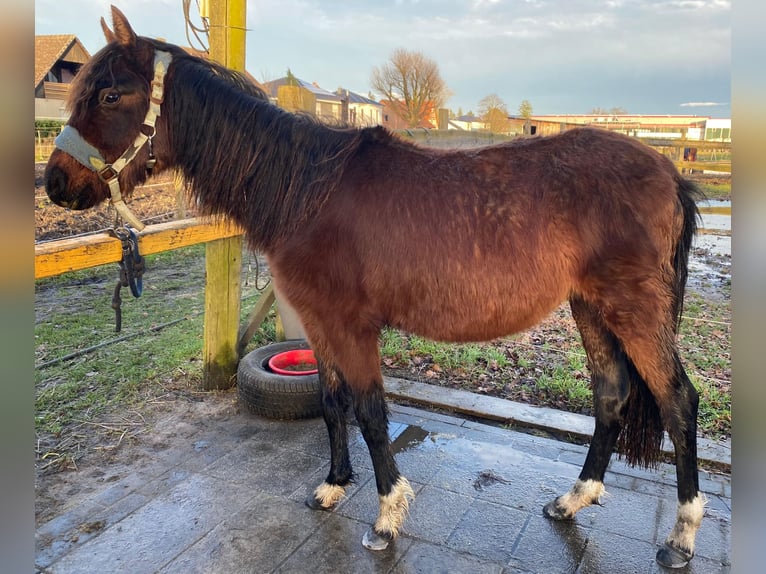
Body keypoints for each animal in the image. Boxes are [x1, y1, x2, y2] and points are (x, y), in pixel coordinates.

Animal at [45, 5, 708, 572]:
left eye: (111, 94)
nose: (55, 183)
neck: (305, 189)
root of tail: (668, 170)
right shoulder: (319, 322)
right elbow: (332, 401)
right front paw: (334, 486)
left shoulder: (351, 325)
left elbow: (369, 410)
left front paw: (387, 516)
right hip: (591, 307)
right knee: (612, 395)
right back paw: (573, 500)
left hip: (634, 311)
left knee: (678, 401)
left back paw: (681, 536)